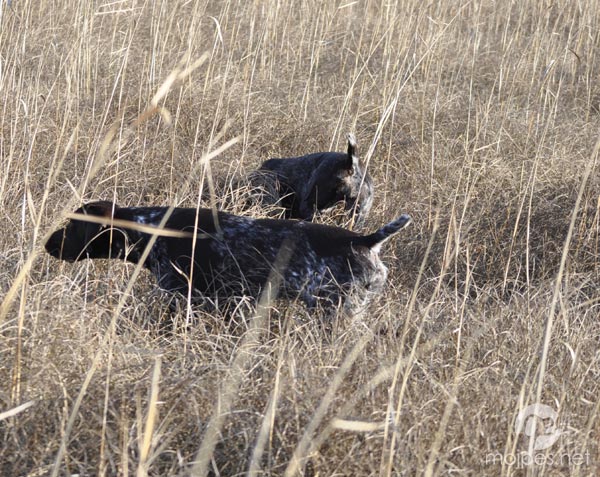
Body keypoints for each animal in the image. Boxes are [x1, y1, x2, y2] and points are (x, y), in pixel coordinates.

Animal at [44, 200, 410, 314]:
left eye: (73, 225)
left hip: (336, 309)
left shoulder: (182, 297)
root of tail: (365, 240)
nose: (47, 243)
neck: (153, 229)